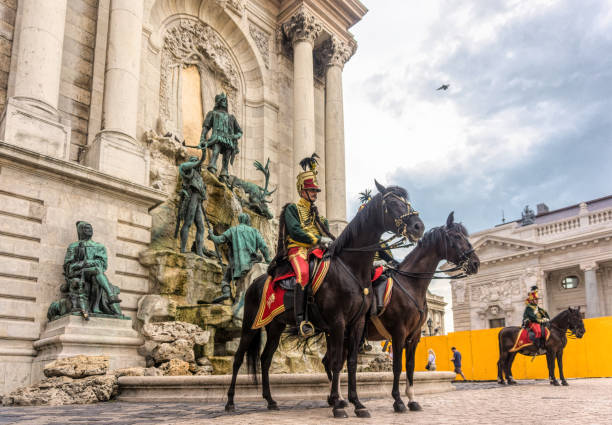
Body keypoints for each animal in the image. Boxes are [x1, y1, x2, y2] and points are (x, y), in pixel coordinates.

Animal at [225, 181, 426, 418]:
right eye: (393, 203)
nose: (418, 227)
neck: (351, 267)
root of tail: (255, 281)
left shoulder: (357, 324)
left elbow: (351, 363)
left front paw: (357, 403)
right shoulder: (338, 323)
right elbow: (337, 362)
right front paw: (338, 405)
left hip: (275, 326)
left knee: (265, 360)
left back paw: (271, 401)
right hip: (250, 324)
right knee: (238, 358)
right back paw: (230, 402)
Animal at [322, 211, 480, 410]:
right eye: (457, 237)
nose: (476, 263)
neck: (410, 284)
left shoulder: (415, 336)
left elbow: (410, 366)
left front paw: (412, 399)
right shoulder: (399, 332)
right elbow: (397, 366)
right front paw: (398, 401)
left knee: (330, 361)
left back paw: (336, 398)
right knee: (332, 362)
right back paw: (338, 399)